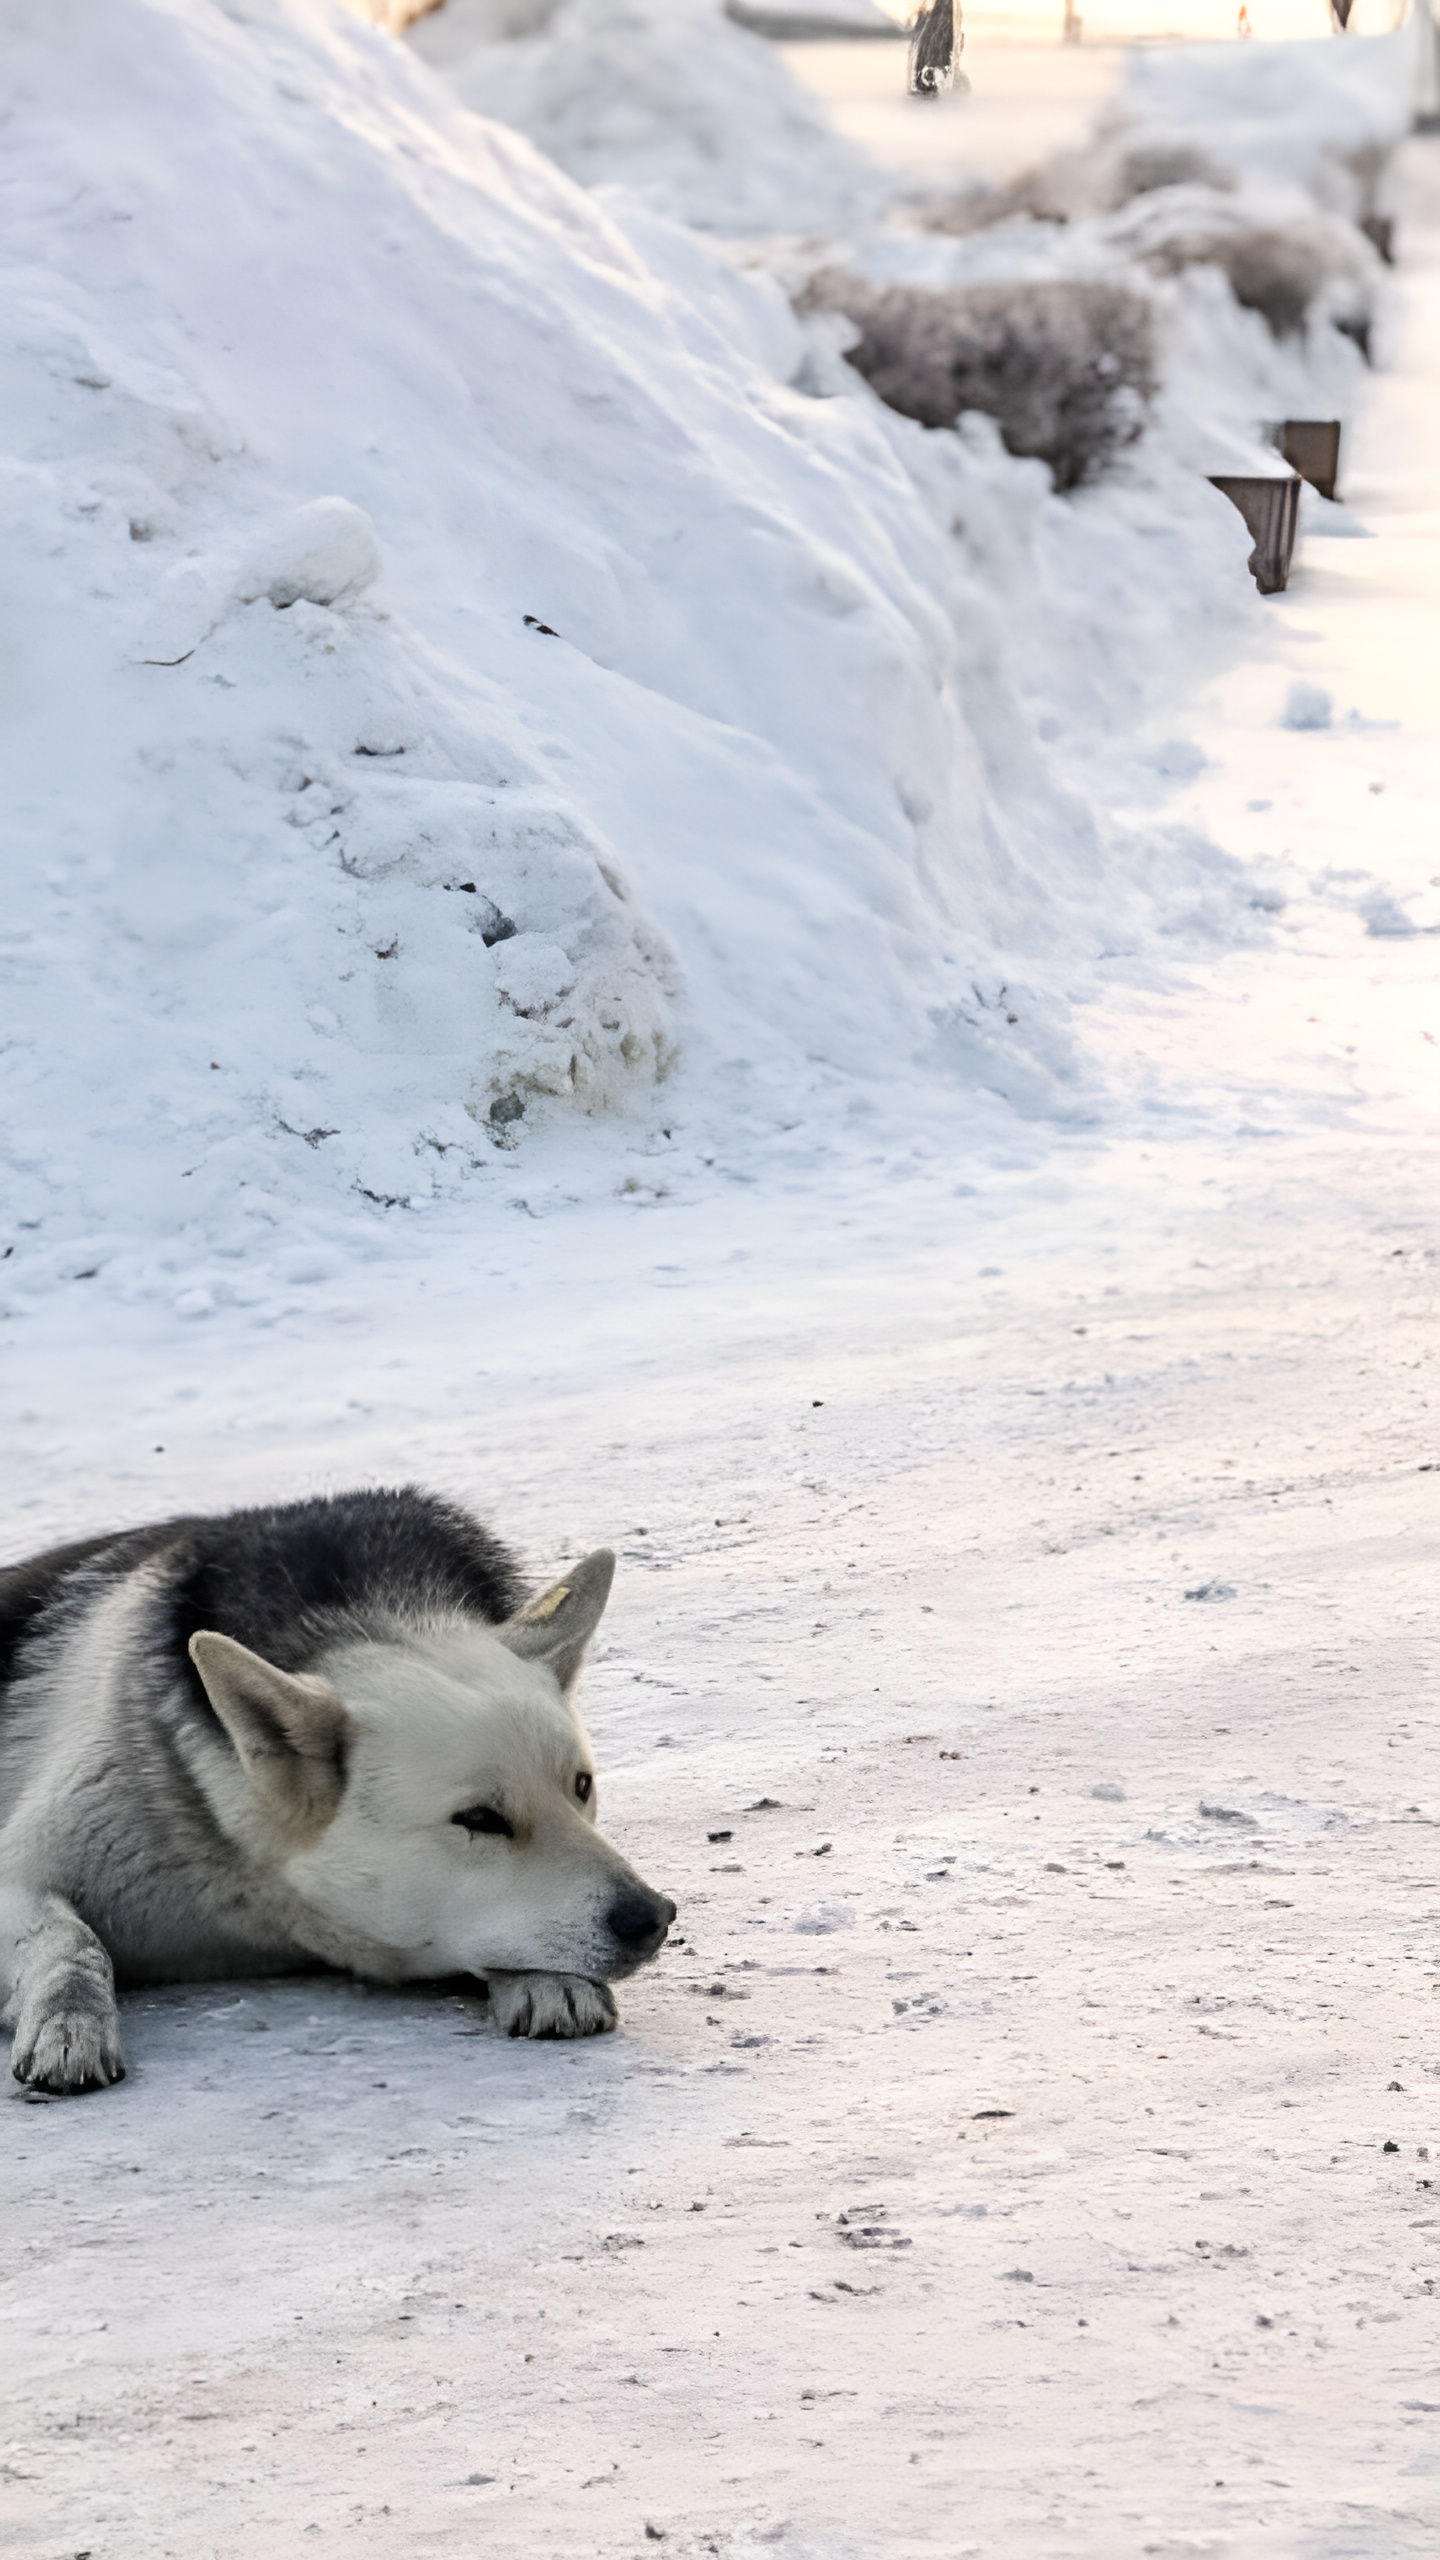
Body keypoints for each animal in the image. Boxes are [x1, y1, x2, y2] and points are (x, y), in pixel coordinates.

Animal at [0, 1495, 671, 2088]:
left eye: (580, 1787)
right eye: (479, 1818)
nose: (654, 1916)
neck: (254, 1898)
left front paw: (550, 1979)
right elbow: (74, 1941)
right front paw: (69, 2020)